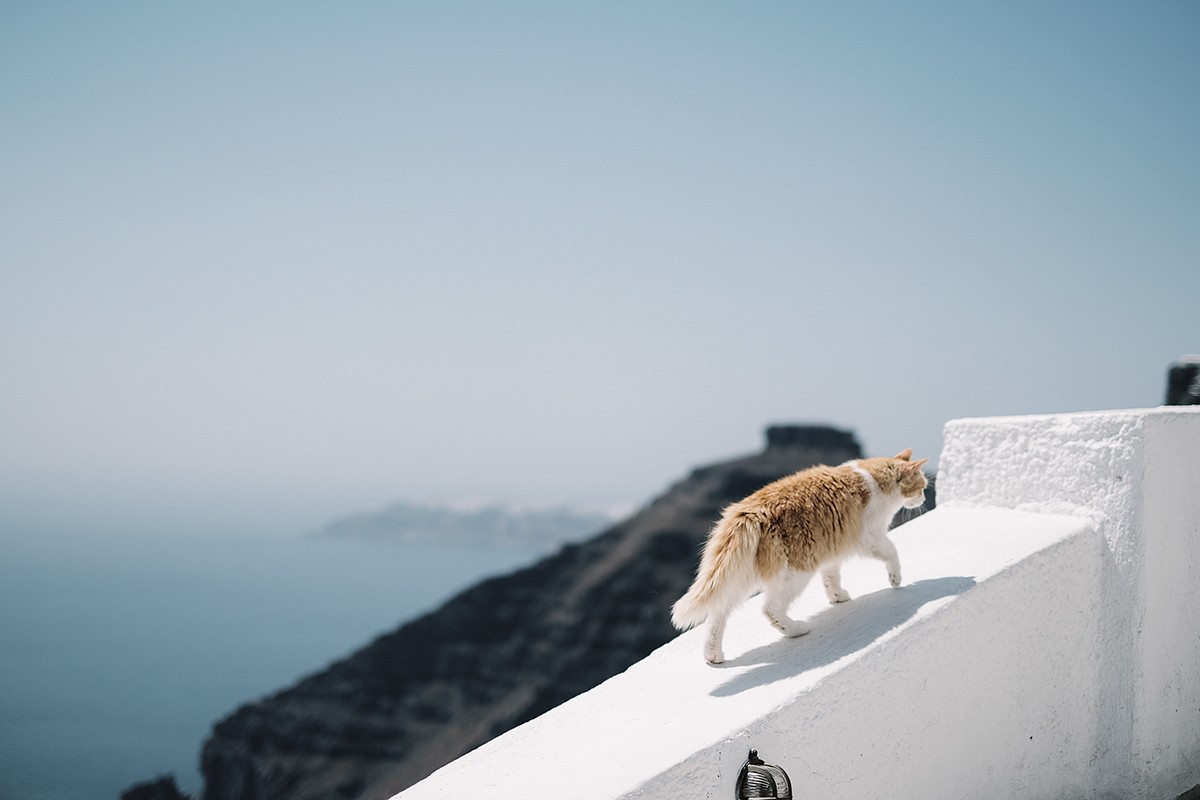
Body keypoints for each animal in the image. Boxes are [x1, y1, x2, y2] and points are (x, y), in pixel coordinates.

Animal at [676, 450, 926, 662]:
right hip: (795, 572)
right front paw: (895, 579)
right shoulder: (870, 538)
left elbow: (831, 576)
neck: (873, 477)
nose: (924, 499)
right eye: (922, 487)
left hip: (740, 576)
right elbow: (892, 552)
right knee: (770, 609)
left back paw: (713, 655)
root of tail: (750, 512)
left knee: (717, 613)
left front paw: (837, 596)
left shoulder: (832, 547)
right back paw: (795, 629)